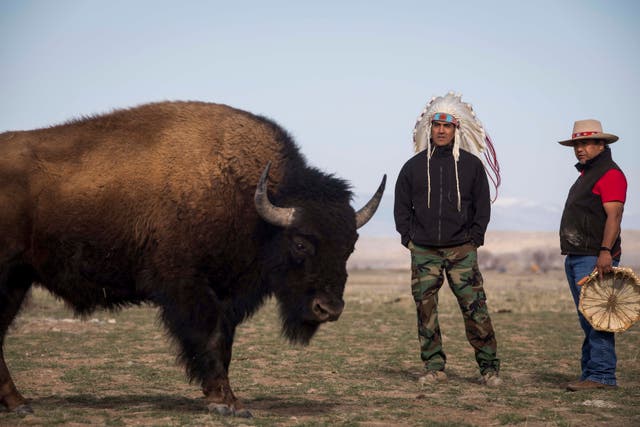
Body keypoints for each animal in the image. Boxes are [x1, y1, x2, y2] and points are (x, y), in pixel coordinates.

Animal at [0, 101, 385, 417]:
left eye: (350, 246)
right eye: (301, 243)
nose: (329, 309)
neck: (248, 201)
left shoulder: (228, 297)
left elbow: (225, 344)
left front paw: (226, 398)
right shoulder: (190, 288)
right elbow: (209, 338)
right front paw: (226, 404)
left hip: (18, 281)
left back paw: (18, 403)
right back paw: (19, 403)